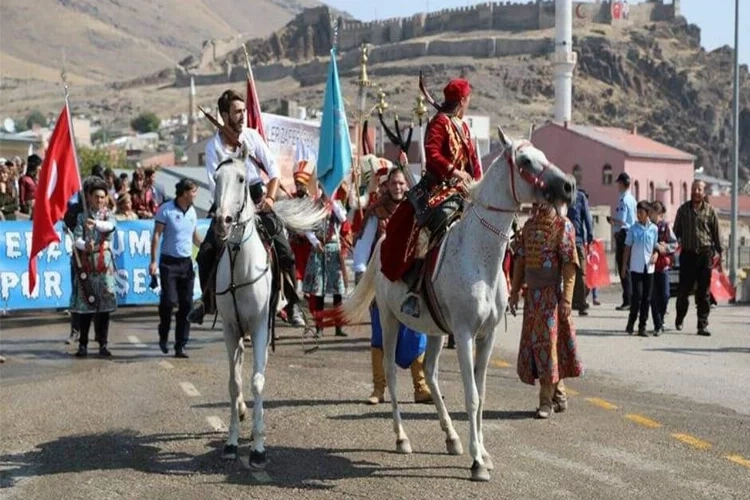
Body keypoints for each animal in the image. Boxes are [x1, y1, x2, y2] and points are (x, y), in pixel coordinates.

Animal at [212, 158, 328, 470]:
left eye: (241, 179)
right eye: (216, 178)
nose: (222, 221)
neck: (240, 264)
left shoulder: (260, 326)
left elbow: (257, 381)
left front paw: (258, 447)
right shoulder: (229, 328)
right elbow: (233, 383)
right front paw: (231, 443)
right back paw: (240, 410)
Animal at [338, 127, 580, 482]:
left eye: (543, 156)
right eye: (524, 161)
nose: (568, 186)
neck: (479, 256)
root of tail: (380, 243)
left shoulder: (485, 337)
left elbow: (481, 395)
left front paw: (482, 452)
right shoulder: (465, 335)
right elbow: (472, 395)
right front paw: (477, 461)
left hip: (436, 331)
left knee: (430, 371)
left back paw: (451, 437)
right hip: (389, 318)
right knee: (391, 371)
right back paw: (402, 438)